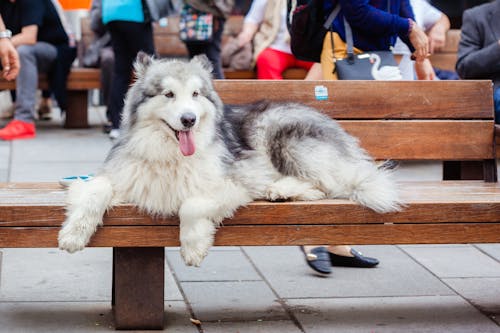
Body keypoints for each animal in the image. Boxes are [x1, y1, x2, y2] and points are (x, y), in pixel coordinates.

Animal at [58, 53, 402, 266]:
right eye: (168, 95)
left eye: (196, 95)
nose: (189, 120)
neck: (169, 154)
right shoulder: (126, 176)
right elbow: (95, 190)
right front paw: (74, 234)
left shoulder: (237, 178)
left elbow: (192, 205)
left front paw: (193, 246)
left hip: (281, 134)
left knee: (330, 184)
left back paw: (283, 189)